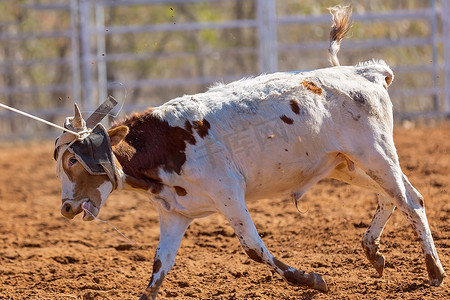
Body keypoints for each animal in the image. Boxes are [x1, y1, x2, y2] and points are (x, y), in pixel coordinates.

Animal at [54, 5, 444, 298]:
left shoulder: (229, 195)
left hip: (376, 153)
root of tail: (366, 73)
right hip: (347, 165)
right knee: (390, 198)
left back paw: (434, 271)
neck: (164, 143)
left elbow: (254, 250)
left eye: (73, 159)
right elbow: (158, 270)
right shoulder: (174, 214)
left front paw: (312, 280)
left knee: (411, 201)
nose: (67, 208)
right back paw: (373, 251)